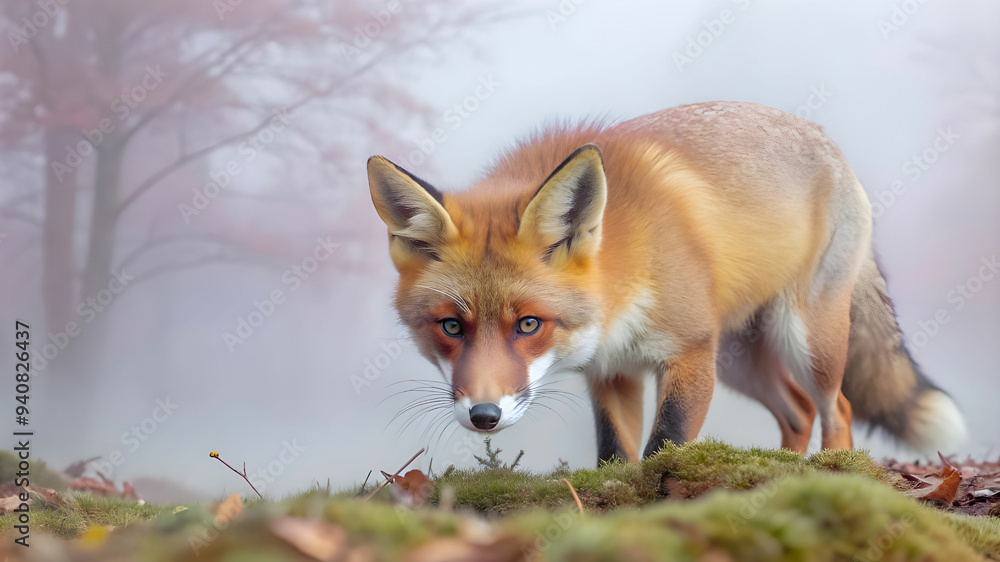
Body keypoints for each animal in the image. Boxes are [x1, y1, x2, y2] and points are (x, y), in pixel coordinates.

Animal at [367, 101, 968, 464]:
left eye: (530, 324)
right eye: (451, 327)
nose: (484, 416)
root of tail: (826, 141)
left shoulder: (689, 353)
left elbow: (666, 445)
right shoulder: (611, 373)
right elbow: (615, 456)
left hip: (803, 339)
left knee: (836, 408)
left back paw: (835, 471)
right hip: (740, 362)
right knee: (798, 412)